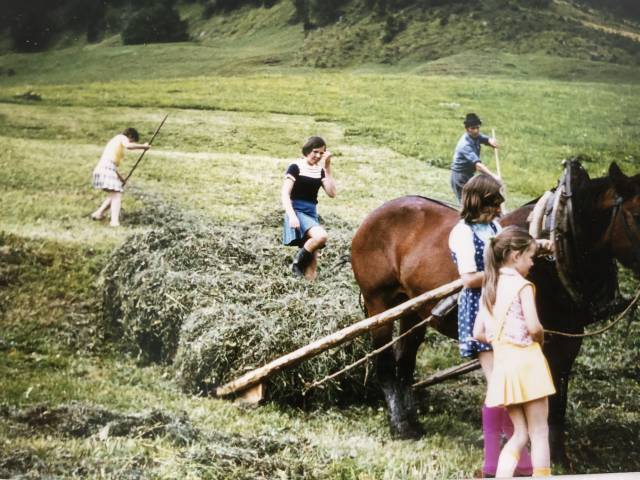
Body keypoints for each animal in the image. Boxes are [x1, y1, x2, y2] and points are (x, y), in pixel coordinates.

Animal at [350, 160, 640, 462]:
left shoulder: (568, 338)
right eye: (636, 214)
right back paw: (400, 425)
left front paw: (556, 454)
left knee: (404, 363)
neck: (555, 242)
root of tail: (375, 215)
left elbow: (558, 395)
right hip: (379, 305)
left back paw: (413, 421)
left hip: (412, 310)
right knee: (385, 365)